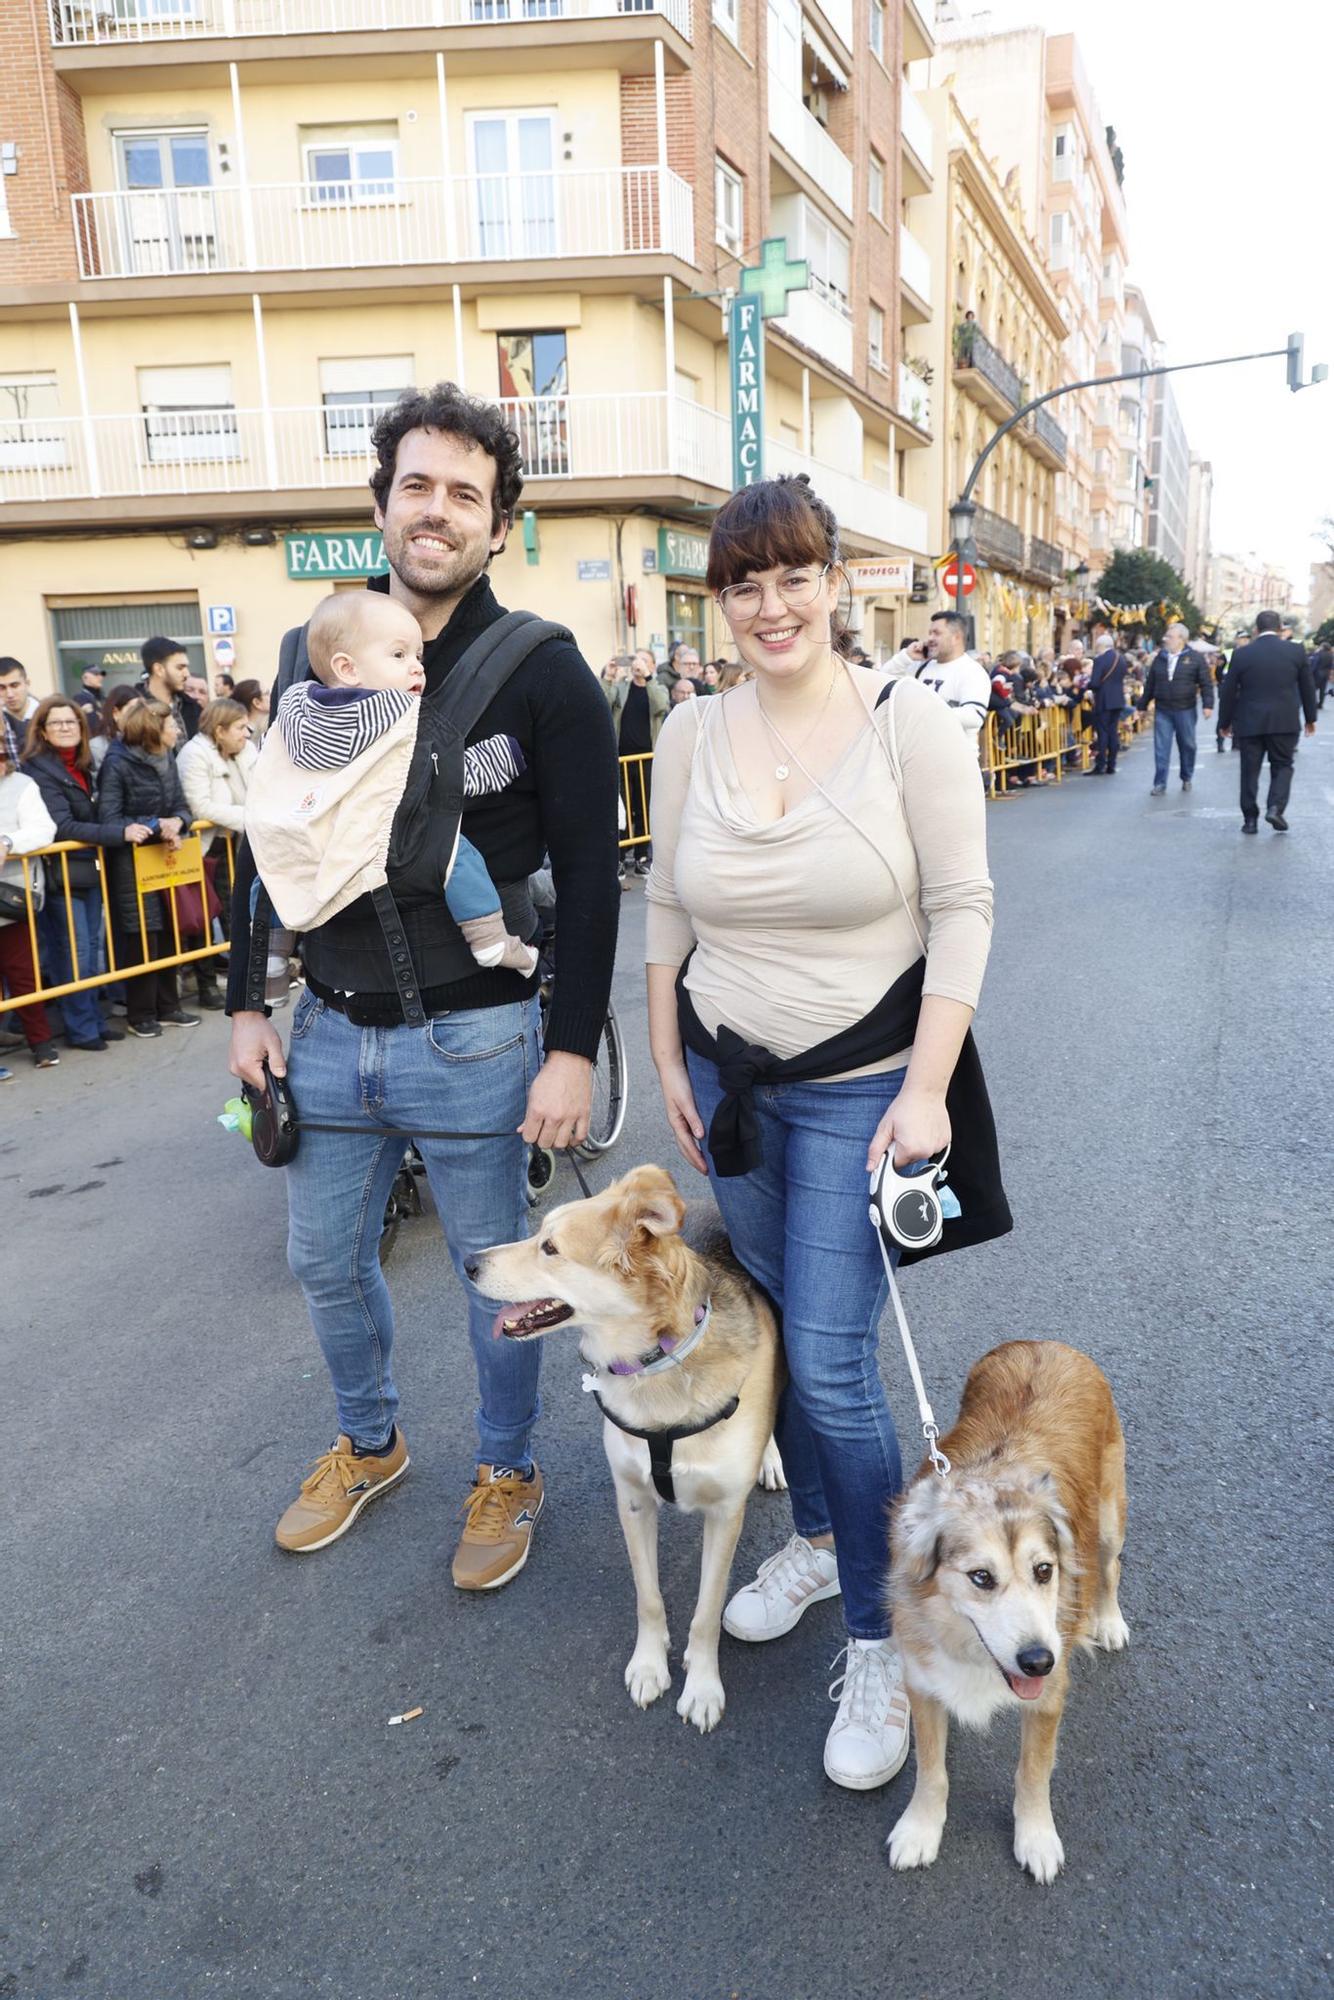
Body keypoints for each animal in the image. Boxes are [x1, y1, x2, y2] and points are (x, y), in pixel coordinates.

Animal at [470, 1168, 784, 1728]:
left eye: (549, 1247)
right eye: (539, 1234)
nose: (469, 1263)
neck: (658, 1359)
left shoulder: (726, 1513)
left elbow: (706, 1612)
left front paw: (702, 1686)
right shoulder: (633, 1500)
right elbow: (649, 1597)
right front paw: (650, 1665)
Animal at [888, 1336, 1128, 1880]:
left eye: (1044, 1571)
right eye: (981, 1578)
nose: (1039, 1661)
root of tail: (1045, 1343)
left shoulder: (1048, 1697)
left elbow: (1032, 1773)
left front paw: (1036, 1837)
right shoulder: (923, 1682)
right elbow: (931, 1770)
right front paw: (921, 1829)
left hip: (1109, 1516)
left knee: (1110, 1566)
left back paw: (1108, 1619)